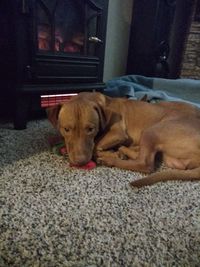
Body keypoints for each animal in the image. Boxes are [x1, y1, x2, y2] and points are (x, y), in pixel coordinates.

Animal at [47, 93, 200, 187]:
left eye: (91, 129)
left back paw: (112, 158)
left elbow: (96, 144)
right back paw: (124, 151)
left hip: (152, 131)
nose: (81, 162)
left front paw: (107, 153)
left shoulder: (117, 133)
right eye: (66, 129)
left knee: (145, 163)